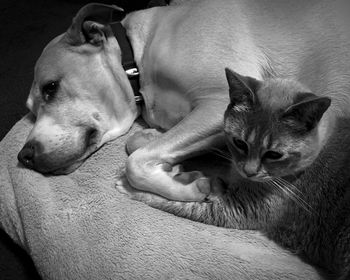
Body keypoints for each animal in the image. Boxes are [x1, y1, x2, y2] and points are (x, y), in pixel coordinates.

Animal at [17, 0, 350, 201]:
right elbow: (138, 146)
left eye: (50, 87)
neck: (136, 60)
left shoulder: (218, 104)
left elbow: (135, 163)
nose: (24, 156)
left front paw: (193, 187)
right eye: (30, 110)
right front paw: (169, 161)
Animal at [119, 68, 348, 278]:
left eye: (274, 154)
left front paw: (130, 187)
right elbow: (141, 148)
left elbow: (170, 201)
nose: (249, 171)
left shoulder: (238, 209)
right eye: (239, 143)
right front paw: (166, 158)